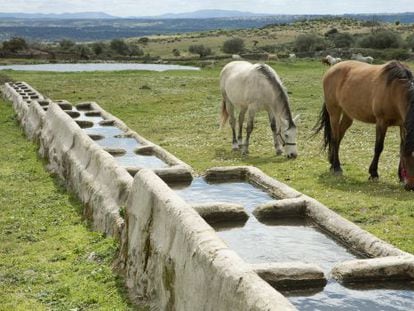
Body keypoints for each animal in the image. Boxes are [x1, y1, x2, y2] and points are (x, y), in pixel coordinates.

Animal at [314, 58, 414, 190]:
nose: (411, 186)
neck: (394, 89)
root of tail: (331, 69)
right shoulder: (381, 122)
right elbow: (378, 147)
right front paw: (373, 173)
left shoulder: (402, 125)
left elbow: (401, 148)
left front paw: (400, 177)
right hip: (334, 113)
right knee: (335, 138)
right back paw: (336, 167)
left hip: (347, 115)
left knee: (339, 137)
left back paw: (332, 162)